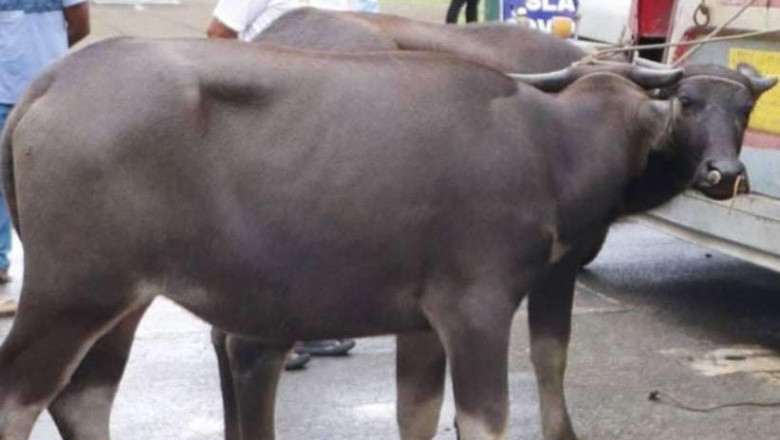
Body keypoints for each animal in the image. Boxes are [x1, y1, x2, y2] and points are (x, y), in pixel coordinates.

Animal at [0, 40, 772, 440]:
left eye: (743, 110)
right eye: (688, 103)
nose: (724, 173)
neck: (552, 147)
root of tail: (55, 80)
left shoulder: (423, 321)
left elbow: (417, 414)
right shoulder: (477, 306)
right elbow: (485, 420)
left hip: (124, 298)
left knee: (84, 397)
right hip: (72, 290)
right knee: (21, 396)